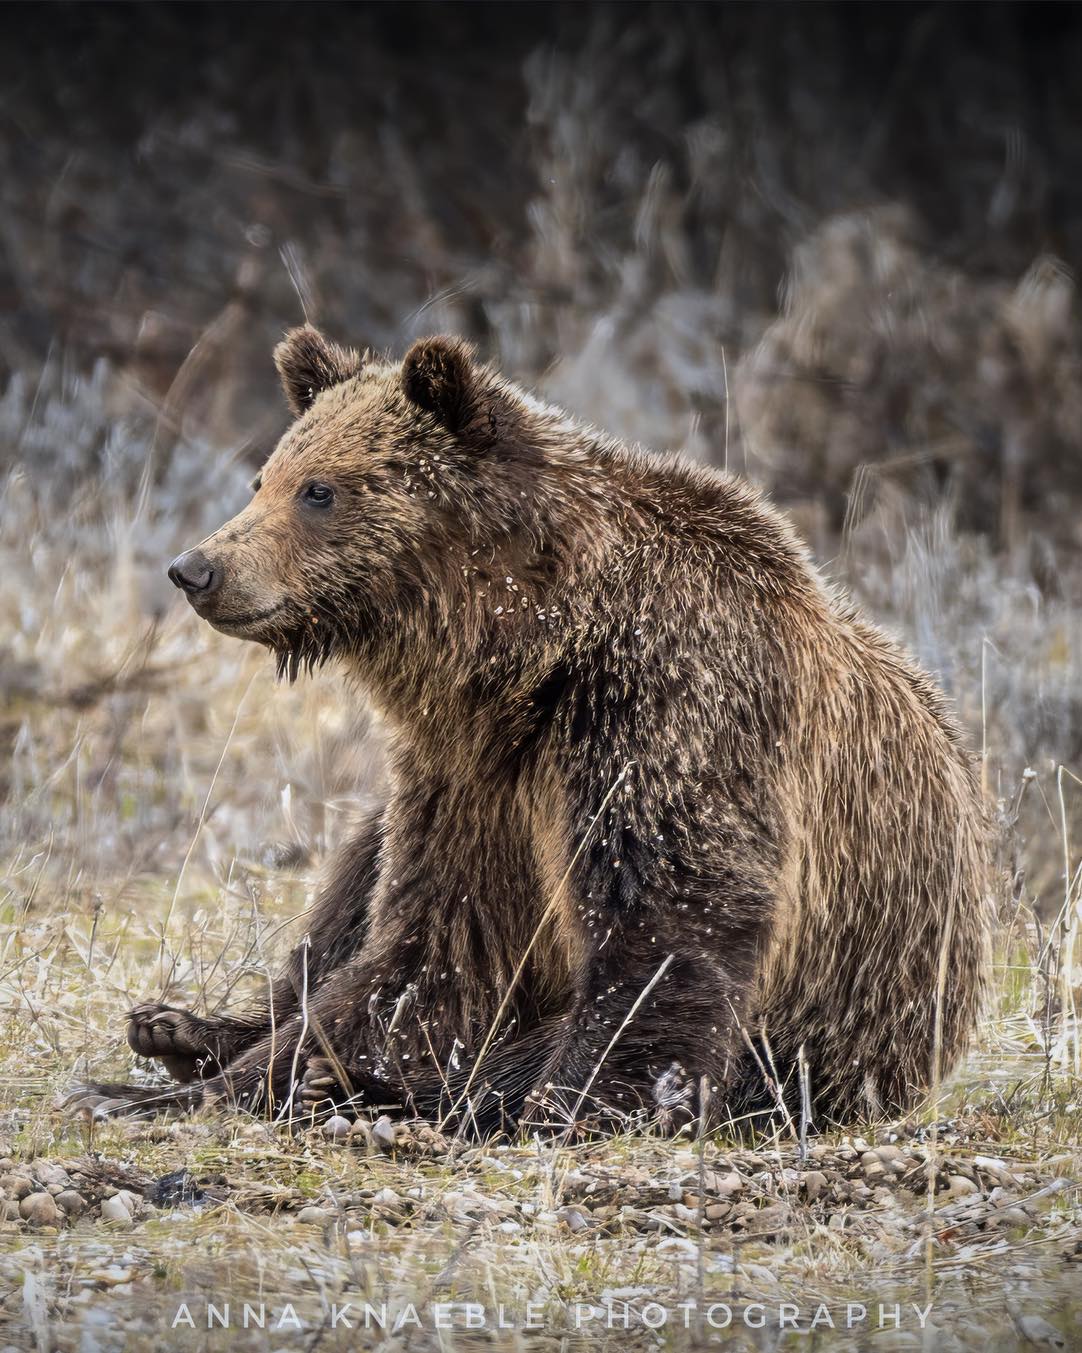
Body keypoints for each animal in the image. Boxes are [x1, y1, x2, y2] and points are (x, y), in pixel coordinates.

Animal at [64, 326, 991, 1136]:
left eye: (319, 489)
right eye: (265, 477)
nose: (196, 567)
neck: (533, 656)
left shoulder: (663, 712)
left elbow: (665, 923)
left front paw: (571, 1103)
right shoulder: (470, 773)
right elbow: (425, 948)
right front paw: (168, 1081)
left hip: (840, 1024)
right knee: (351, 878)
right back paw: (182, 1027)